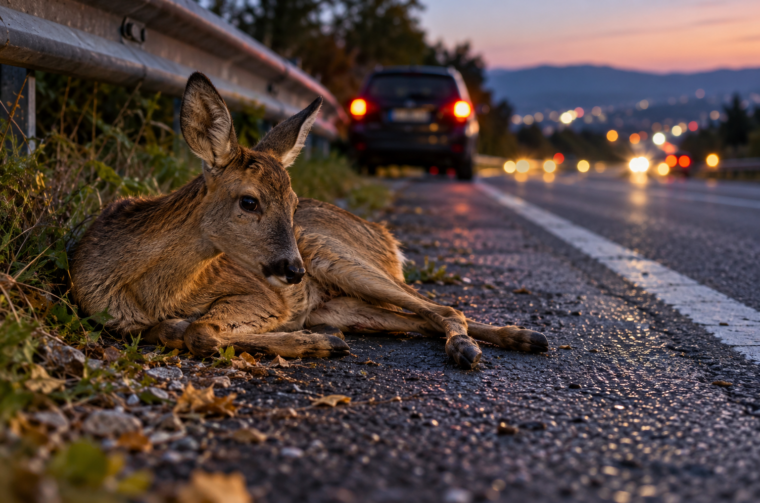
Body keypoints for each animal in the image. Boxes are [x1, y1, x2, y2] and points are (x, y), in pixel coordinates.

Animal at [70, 73, 548, 370]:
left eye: (294, 202)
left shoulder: (263, 296)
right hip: (340, 304)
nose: (293, 271)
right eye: (249, 201)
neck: (149, 292)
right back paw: (523, 337)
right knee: (422, 316)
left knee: (441, 306)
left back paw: (477, 347)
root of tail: (388, 239)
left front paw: (315, 345)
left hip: (337, 258)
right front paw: (320, 343)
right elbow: (184, 330)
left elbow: (202, 331)